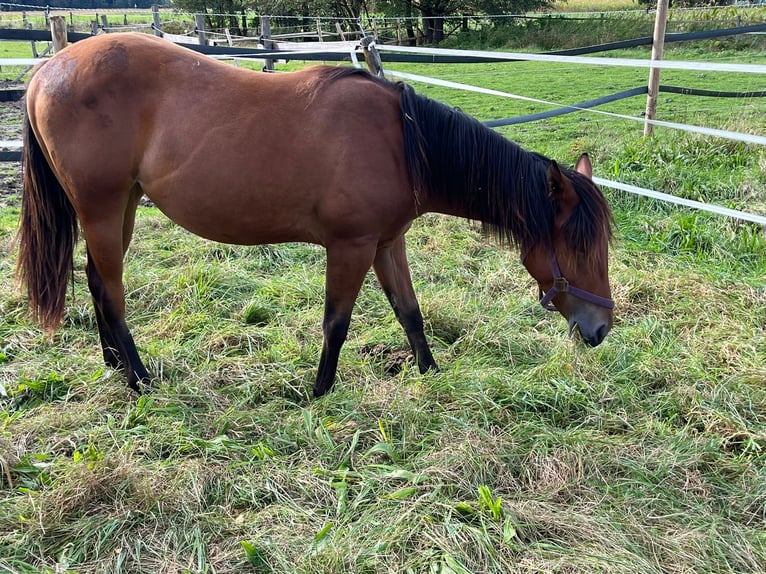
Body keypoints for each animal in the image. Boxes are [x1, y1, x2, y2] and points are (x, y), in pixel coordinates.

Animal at [16, 33, 616, 398]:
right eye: (580, 246)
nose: (601, 329)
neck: (402, 142)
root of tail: (48, 69)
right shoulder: (350, 247)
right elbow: (337, 323)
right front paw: (319, 393)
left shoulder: (386, 243)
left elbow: (410, 312)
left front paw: (429, 374)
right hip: (101, 208)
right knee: (113, 291)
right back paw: (141, 379)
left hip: (121, 207)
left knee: (97, 281)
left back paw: (115, 366)